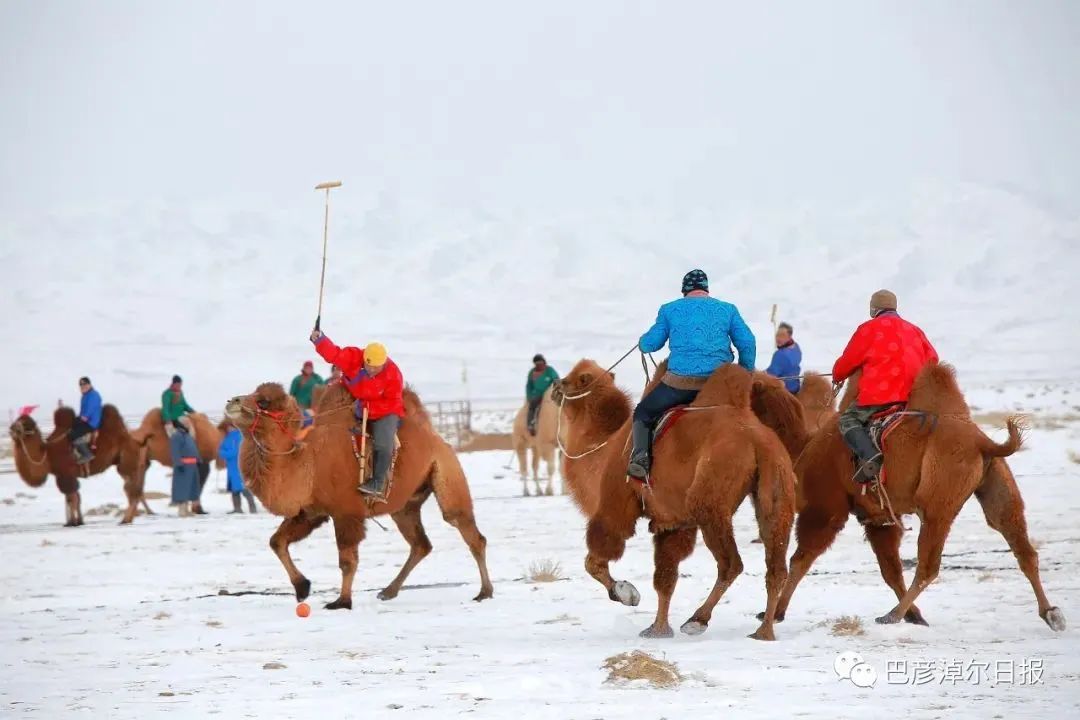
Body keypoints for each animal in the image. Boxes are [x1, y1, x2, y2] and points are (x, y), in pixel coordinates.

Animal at [8, 405, 149, 524]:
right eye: (18, 420)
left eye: (27, 424)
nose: (12, 428)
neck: (47, 453)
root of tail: (136, 441)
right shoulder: (65, 476)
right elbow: (75, 497)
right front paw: (77, 521)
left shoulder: (66, 474)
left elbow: (72, 498)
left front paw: (73, 522)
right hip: (125, 465)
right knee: (132, 488)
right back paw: (129, 518)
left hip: (127, 463)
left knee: (132, 489)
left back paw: (125, 520)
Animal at [223, 379, 494, 613]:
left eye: (264, 401)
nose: (232, 401)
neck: (307, 463)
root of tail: (438, 438)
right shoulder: (311, 512)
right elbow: (277, 542)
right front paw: (303, 588)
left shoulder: (347, 513)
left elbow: (347, 561)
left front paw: (341, 602)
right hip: (405, 505)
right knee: (420, 544)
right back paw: (388, 591)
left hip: (447, 473)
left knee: (467, 529)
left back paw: (484, 592)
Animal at [552, 360, 799, 643]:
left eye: (573, 380)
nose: (555, 386)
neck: (603, 451)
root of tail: (757, 441)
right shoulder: (672, 522)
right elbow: (665, 577)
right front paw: (657, 629)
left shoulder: (616, 504)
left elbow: (595, 560)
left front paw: (626, 593)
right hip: (777, 488)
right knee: (776, 564)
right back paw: (764, 630)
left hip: (710, 503)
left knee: (731, 563)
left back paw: (698, 620)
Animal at [764, 367, 1067, 630]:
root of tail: (986, 443)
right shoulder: (879, 517)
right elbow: (890, 570)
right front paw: (916, 616)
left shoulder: (826, 505)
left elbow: (801, 559)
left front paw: (776, 612)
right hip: (996, 485)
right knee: (1020, 543)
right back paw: (1051, 614)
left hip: (938, 502)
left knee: (929, 564)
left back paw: (891, 615)